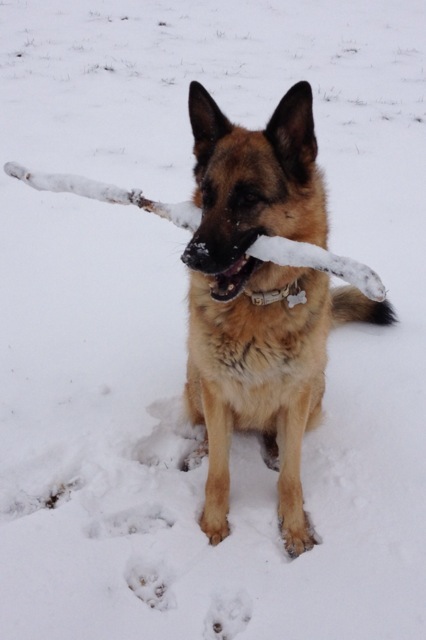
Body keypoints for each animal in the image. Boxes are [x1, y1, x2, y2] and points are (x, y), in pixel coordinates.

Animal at [181, 81, 396, 556]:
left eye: (248, 198)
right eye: (207, 195)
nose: (191, 257)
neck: (259, 305)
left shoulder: (297, 397)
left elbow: (292, 478)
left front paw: (296, 527)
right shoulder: (215, 389)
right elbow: (219, 472)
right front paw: (213, 522)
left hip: (315, 393)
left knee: (279, 439)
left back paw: (273, 448)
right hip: (194, 381)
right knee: (206, 430)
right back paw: (201, 448)